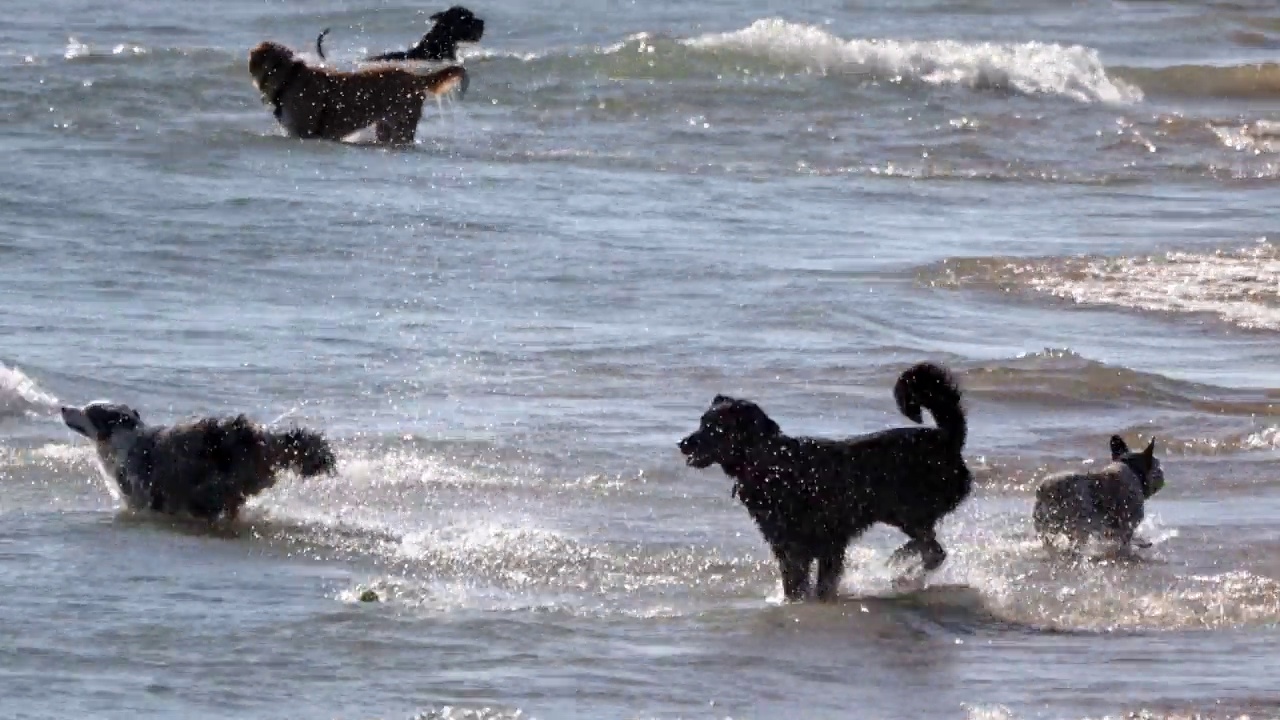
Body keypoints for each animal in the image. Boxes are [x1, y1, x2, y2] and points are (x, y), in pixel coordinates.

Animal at [680, 358, 967, 599]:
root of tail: (947, 440)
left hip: (906, 510)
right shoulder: (794, 549)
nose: (682, 444)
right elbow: (802, 587)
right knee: (930, 548)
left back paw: (901, 568)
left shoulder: (816, 546)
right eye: (702, 422)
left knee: (933, 550)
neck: (770, 462)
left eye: (716, 428)